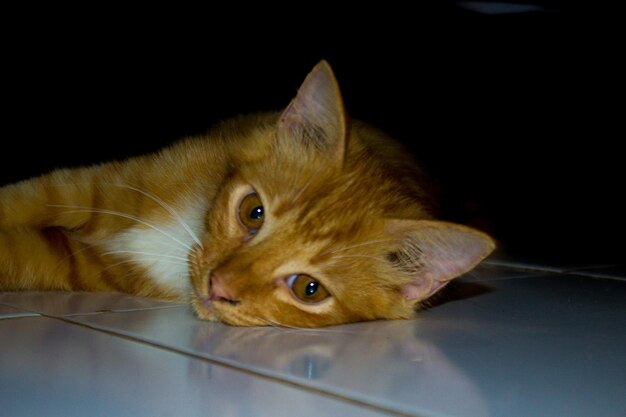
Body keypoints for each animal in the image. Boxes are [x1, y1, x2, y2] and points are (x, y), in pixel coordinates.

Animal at [0, 61, 492, 328]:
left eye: (308, 288)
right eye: (253, 212)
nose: (217, 286)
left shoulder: (74, 262)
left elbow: (17, 254)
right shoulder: (90, 185)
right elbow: (22, 198)